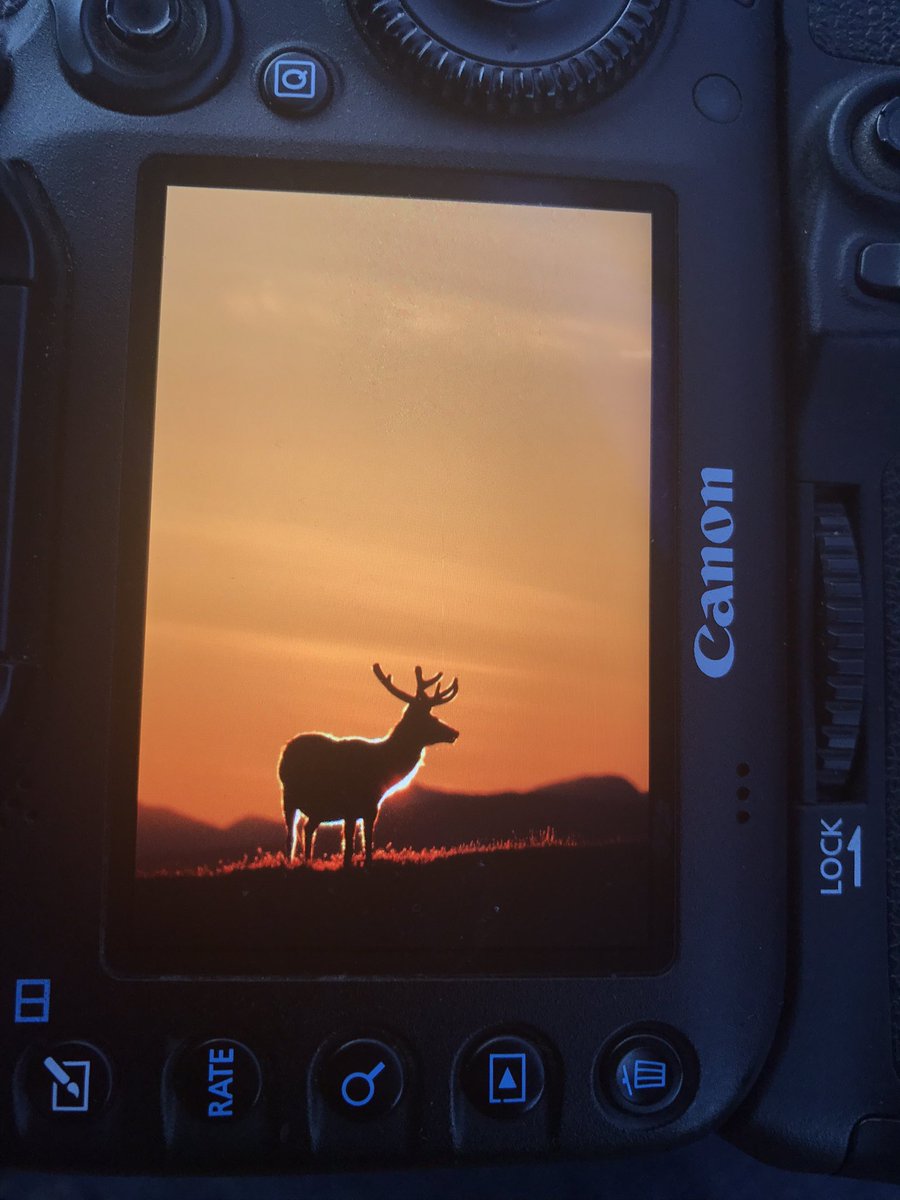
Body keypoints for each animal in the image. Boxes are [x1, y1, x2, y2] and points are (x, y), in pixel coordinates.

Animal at [278, 664, 460, 869]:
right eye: (430, 718)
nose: (454, 732)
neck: (381, 771)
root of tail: (286, 749)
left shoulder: (371, 808)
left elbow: (368, 843)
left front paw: (367, 862)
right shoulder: (349, 806)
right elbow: (348, 847)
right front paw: (347, 865)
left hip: (318, 808)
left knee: (307, 828)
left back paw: (308, 861)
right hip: (289, 797)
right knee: (291, 836)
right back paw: (291, 862)